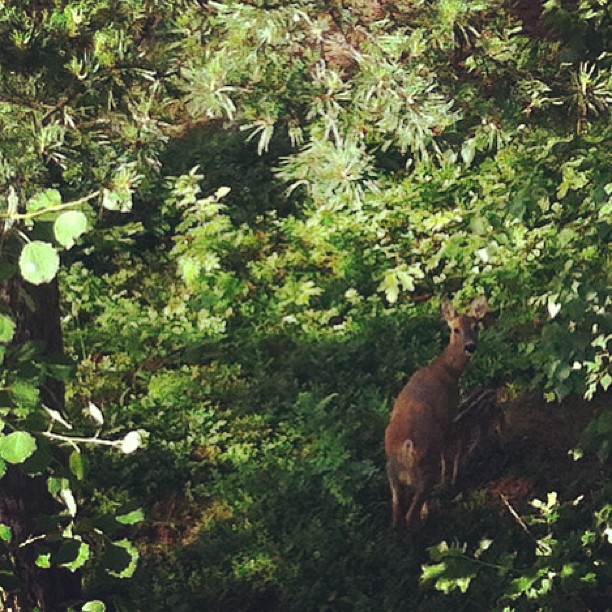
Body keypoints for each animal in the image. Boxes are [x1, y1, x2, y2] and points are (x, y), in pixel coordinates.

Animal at [384, 296, 490, 532]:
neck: (446, 370)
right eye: (455, 329)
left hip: (392, 471)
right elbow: (449, 451)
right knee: (409, 515)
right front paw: (449, 480)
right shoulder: (448, 418)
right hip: (425, 471)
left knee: (396, 512)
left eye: (476, 326)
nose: (470, 347)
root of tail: (407, 449)